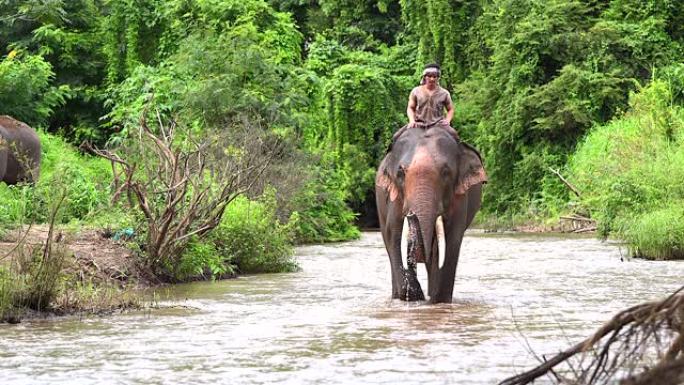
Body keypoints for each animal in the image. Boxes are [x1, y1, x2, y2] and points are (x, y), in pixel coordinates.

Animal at [374, 125, 486, 304]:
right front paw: (413, 295)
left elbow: (451, 240)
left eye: (446, 172)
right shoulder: (394, 199)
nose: (412, 215)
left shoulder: (459, 199)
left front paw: (436, 300)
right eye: (400, 173)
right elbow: (394, 235)